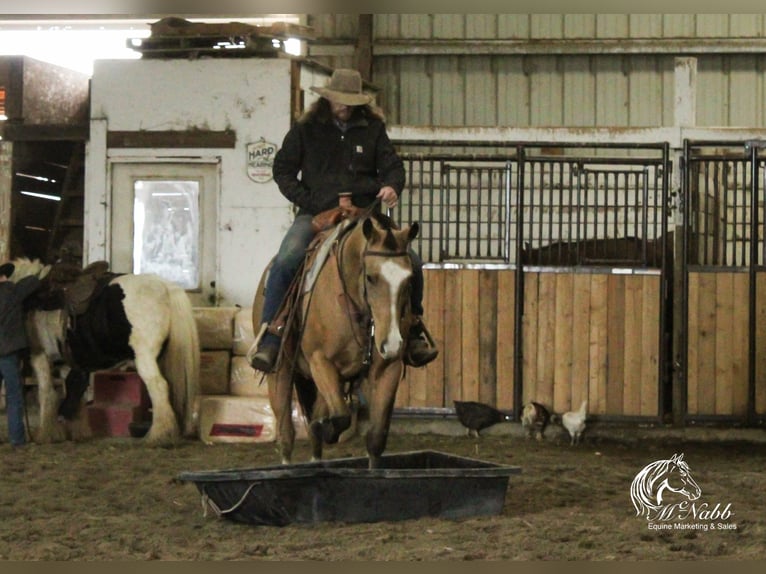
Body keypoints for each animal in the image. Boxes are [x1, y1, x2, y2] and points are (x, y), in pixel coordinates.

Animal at [11, 258, 201, 448]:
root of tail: (167, 287)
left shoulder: (40, 356)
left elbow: (46, 392)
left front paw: (47, 434)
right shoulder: (68, 363)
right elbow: (75, 392)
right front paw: (78, 431)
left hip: (145, 357)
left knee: (159, 386)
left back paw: (158, 436)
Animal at [249, 214, 420, 470]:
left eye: (409, 280)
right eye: (370, 277)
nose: (391, 344)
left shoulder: (389, 368)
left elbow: (376, 439)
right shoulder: (320, 362)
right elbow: (340, 417)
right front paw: (327, 428)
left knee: (313, 430)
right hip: (281, 373)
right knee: (286, 434)